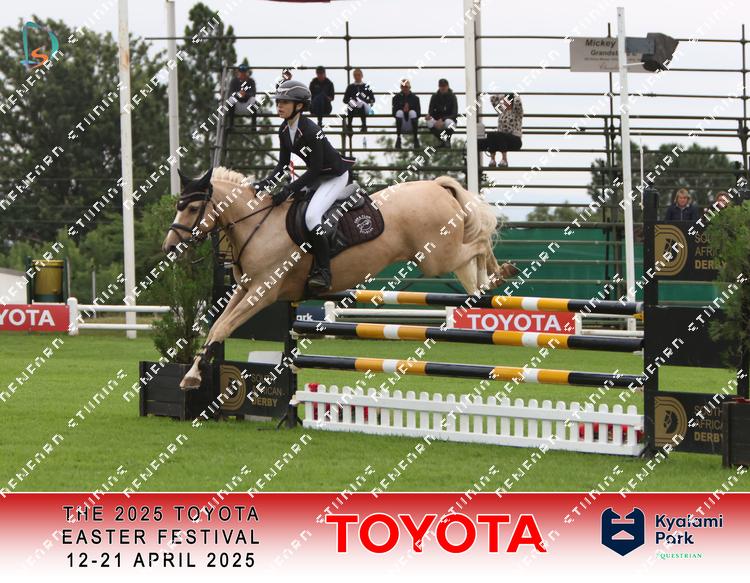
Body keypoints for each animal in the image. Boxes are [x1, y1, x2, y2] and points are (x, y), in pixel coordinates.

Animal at [162, 166, 515, 389]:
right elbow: (217, 328)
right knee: (475, 252)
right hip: (437, 255)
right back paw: (487, 283)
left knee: (479, 240)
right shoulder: (245, 289)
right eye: (178, 206)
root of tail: (436, 186)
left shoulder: (262, 292)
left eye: (191, 208)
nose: (169, 247)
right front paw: (191, 375)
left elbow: (223, 327)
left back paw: (498, 274)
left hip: (434, 256)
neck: (257, 225)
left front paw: (191, 378)